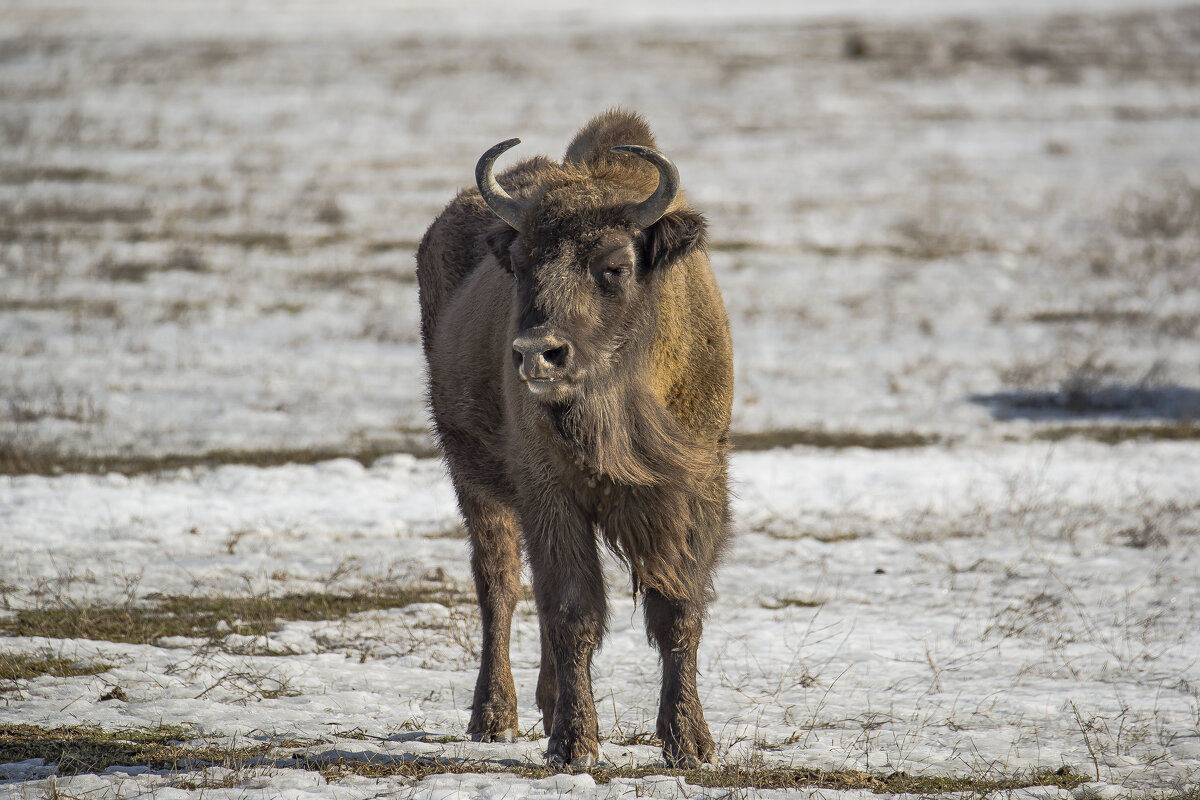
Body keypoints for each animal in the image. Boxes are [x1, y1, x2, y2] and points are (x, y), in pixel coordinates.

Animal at [412, 107, 729, 767]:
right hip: (471, 479)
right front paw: (573, 745)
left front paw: (690, 744)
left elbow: (678, 608)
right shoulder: (549, 492)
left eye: (614, 265)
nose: (538, 353)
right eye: (521, 264)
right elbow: (572, 609)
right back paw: (494, 716)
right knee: (499, 582)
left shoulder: (696, 489)